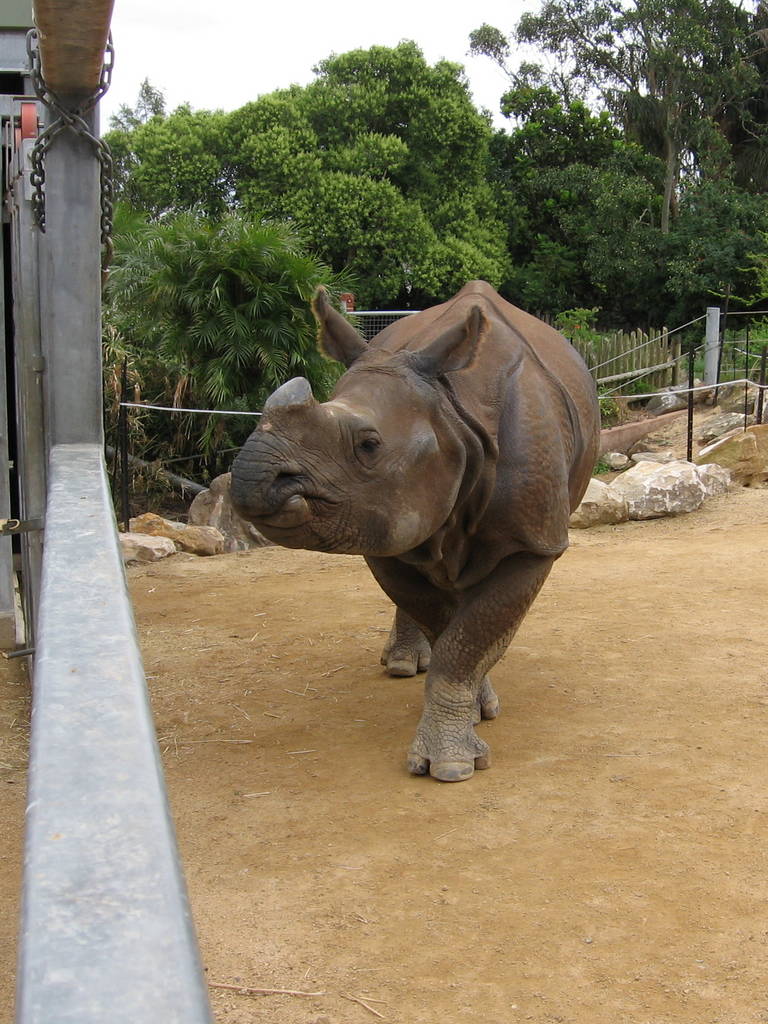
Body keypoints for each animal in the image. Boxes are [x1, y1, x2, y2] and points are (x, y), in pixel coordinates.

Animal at [230, 281, 599, 781]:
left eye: (369, 445)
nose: (253, 481)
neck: (452, 414)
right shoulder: (380, 522)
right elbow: (447, 630)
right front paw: (474, 712)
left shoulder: (533, 543)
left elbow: (466, 639)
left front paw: (453, 764)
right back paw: (403, 666)